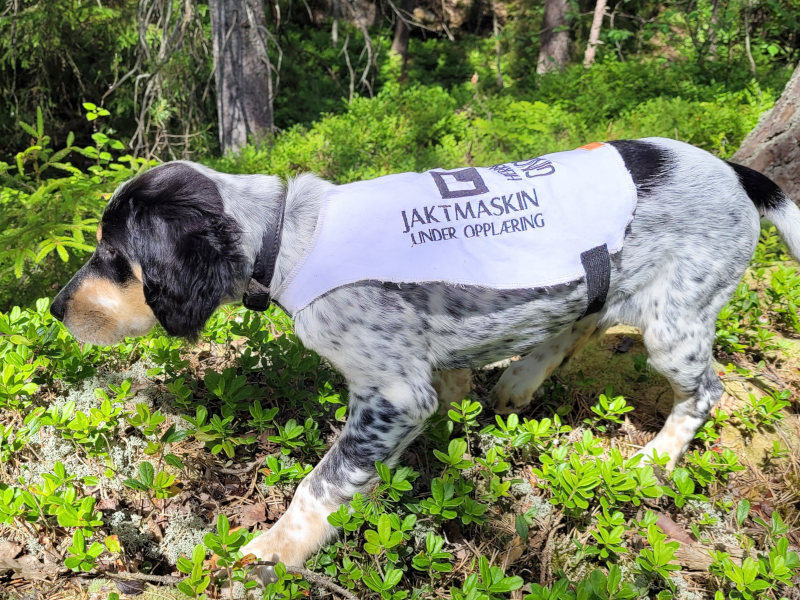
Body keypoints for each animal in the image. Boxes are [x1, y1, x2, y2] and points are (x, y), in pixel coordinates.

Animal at [51, 138, 800, 568]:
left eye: (114, 258)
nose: (55, 309)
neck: (290, 235)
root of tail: (737, 175)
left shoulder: (392, 394)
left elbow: (322, 482)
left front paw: (275, 551)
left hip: (675, 323)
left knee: (704, 392)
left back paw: (654, 459)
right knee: (576, 324)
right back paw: (518, 383)